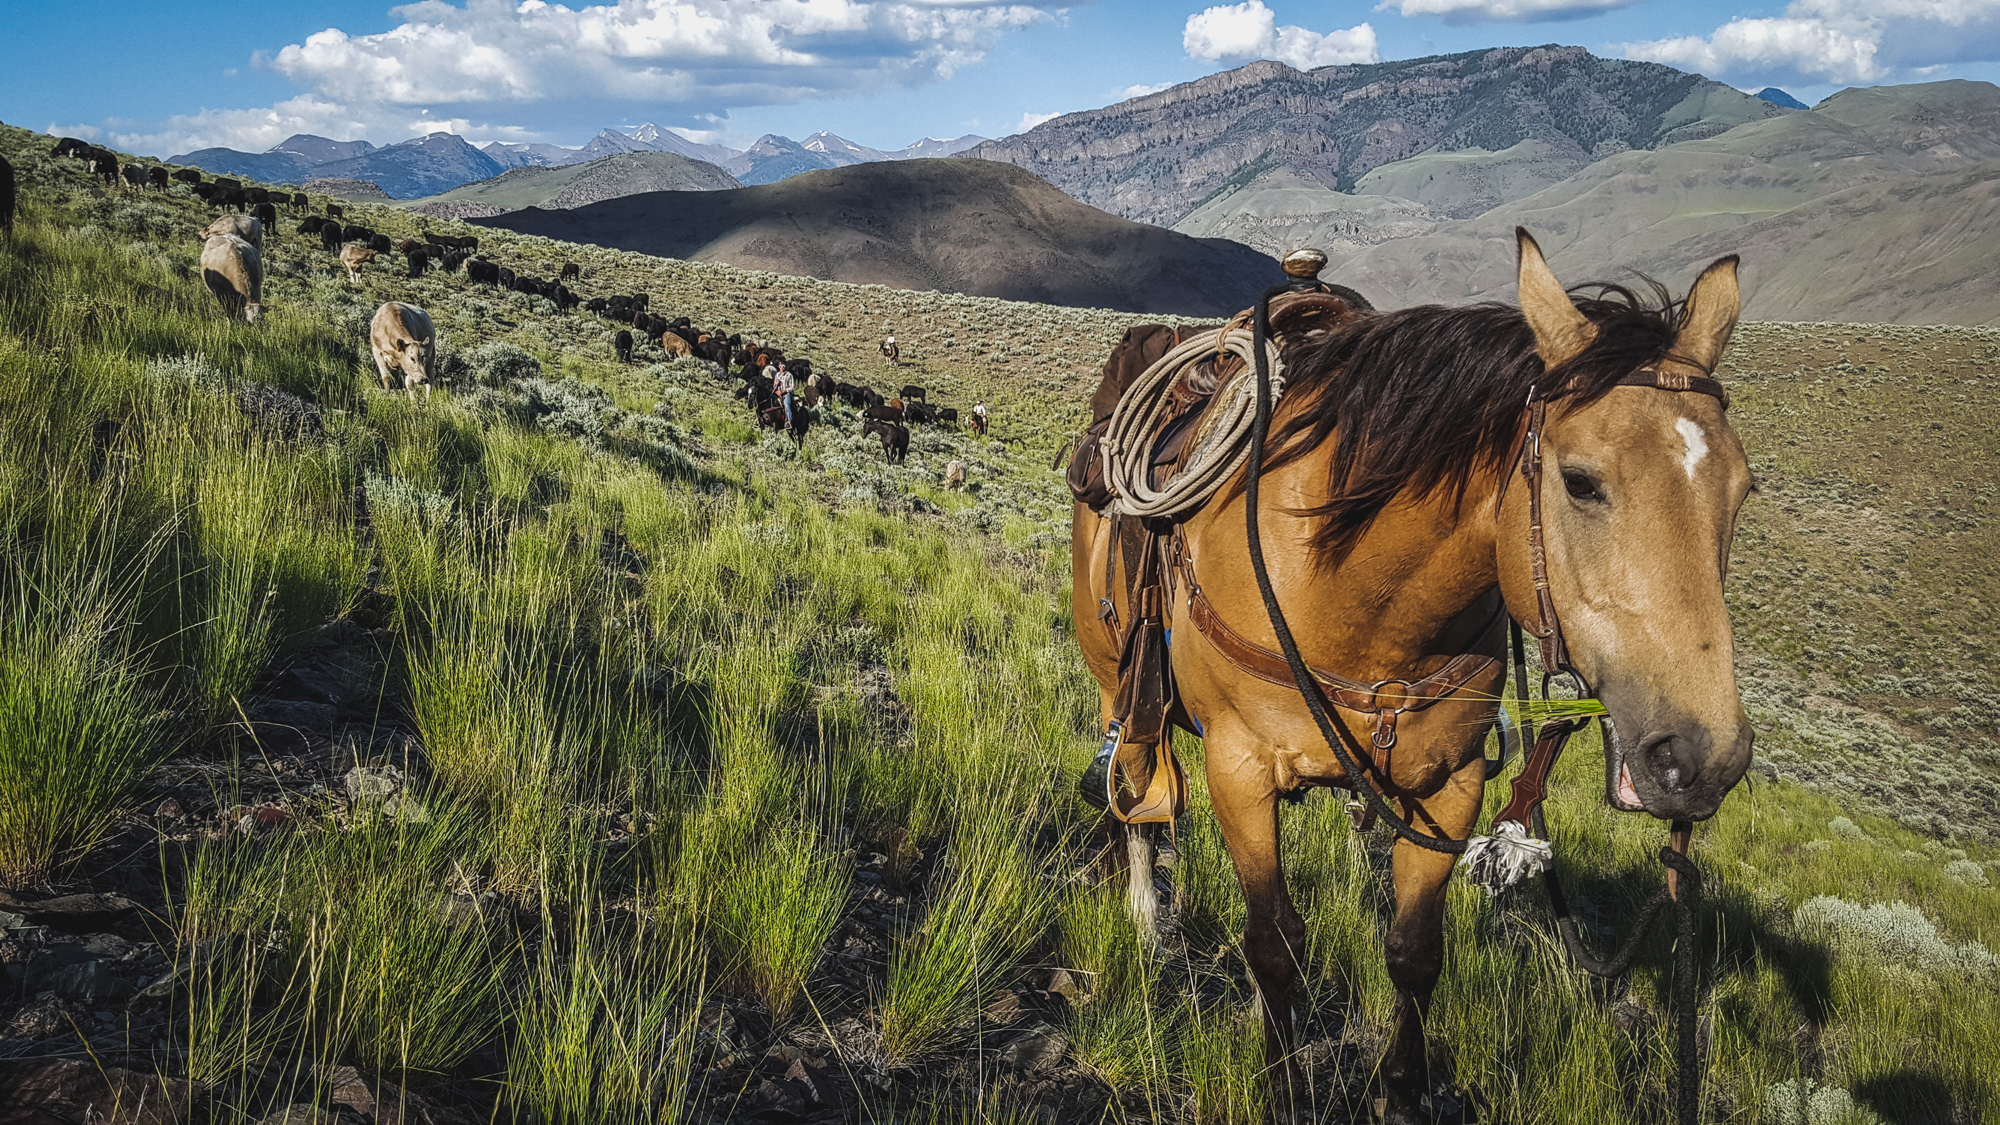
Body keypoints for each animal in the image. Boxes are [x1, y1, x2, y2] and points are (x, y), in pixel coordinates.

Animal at [1080, 232, 1752, 1112]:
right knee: (1135, 793)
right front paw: (1284, 1085)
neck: (1351, 588)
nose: (1702, 758)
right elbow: (1273, 943)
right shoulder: (1240, 769)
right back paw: (1145, 918)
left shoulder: (1450, 783)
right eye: (1579, 480)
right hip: (1117, 683)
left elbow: (1414, 951)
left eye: (1743, 489)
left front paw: (1399, 1091)